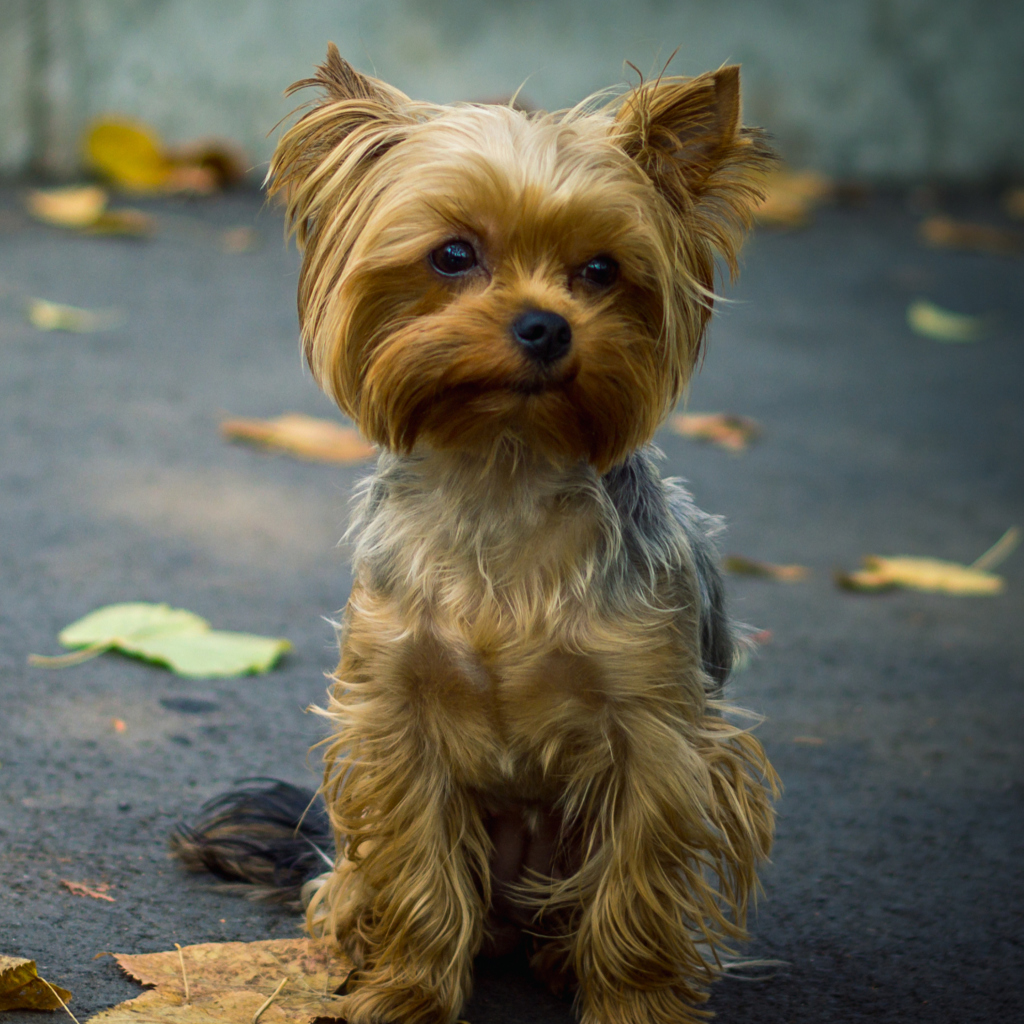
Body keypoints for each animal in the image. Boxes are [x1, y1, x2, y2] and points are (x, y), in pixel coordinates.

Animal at [174, 46, 774, 1024]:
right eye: (453, 255)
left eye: (601, 270)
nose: (545, 325)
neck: (502, 472)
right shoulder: (397, 722)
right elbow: (419, 874)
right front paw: (405, 994)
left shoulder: (660, 734)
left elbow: (638, 886)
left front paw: (634, 1003)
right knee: (360, 884)